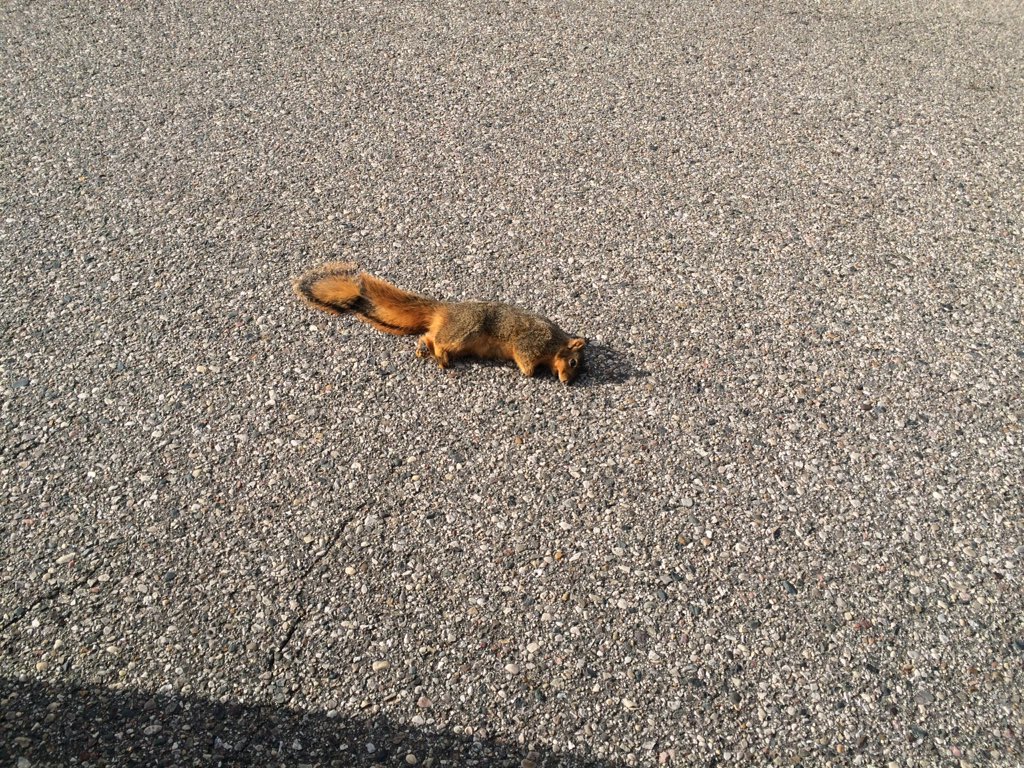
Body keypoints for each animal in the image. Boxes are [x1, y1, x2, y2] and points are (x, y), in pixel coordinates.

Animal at [294, 262, 587, 383]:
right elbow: (525, 358)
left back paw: (427, 350)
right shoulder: (532, 343)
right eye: (574, 363)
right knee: (438, 339)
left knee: (428, 336)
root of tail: (444, 310)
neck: (555, 344)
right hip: (465, 331)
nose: (567, 383)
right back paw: (439, 355)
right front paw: (530, 373)